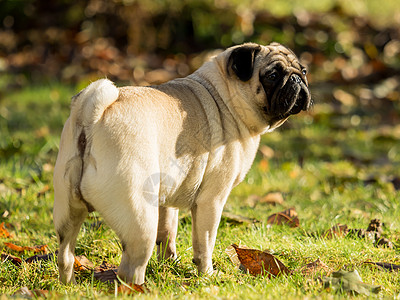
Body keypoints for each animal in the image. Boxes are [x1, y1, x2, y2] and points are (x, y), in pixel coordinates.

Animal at [53, 41, 310, 284]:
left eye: (304, 70)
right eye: (272, 76)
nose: (297, 79)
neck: (224, 96)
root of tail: (91, 116)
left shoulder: (167, 197)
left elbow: (168, 232)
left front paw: (170, 264)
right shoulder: (211, 201)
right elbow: (204, 243)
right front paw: (206, 275)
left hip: (67, 212)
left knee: (65, 255)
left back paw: (70, 286)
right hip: (140, 218)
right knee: (131, 268)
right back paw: (139, 289)